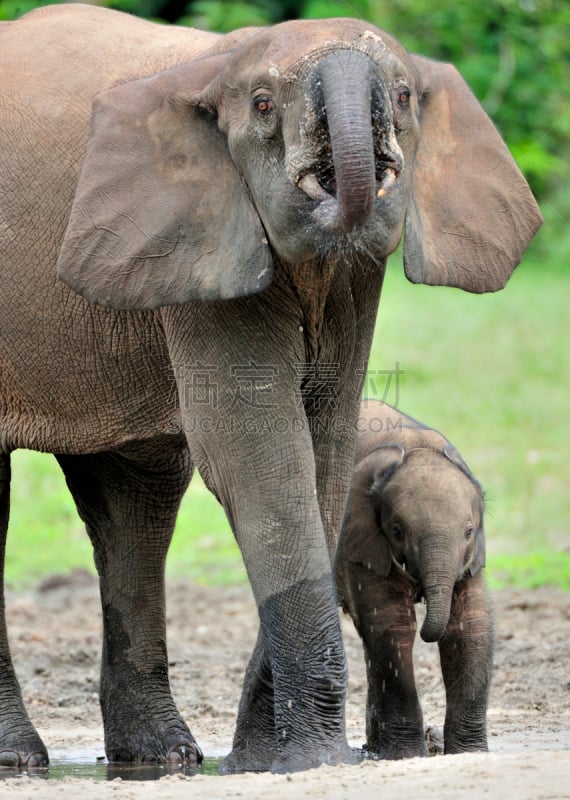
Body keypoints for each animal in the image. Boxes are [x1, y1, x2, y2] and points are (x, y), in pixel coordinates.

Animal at [336, 404, 490, 760]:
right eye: (396, 531)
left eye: (468, 531)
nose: (428, 632)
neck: (417, 447)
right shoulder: (361, 540)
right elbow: (392, 623)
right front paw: (407, 756)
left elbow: (470, 625)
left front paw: (470, 753)